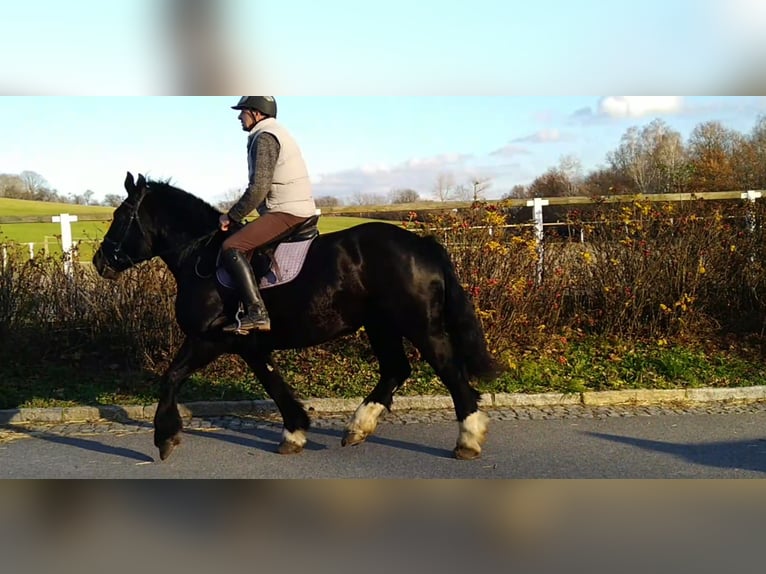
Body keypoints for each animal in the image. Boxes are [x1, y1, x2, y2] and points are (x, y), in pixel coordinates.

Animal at [93, 174, 500, 464]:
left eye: (120, 216)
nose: (100, 262)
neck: (201, 258)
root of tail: (422, 244)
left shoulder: (208, 339)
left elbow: (171, 377)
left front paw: (165, 438)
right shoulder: (249, 345)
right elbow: (276, 386)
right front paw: (295, 432)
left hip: (420, 326)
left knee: (450, 371)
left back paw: (468, 439)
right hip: (381, 326)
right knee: (396, 370)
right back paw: (358, 428)